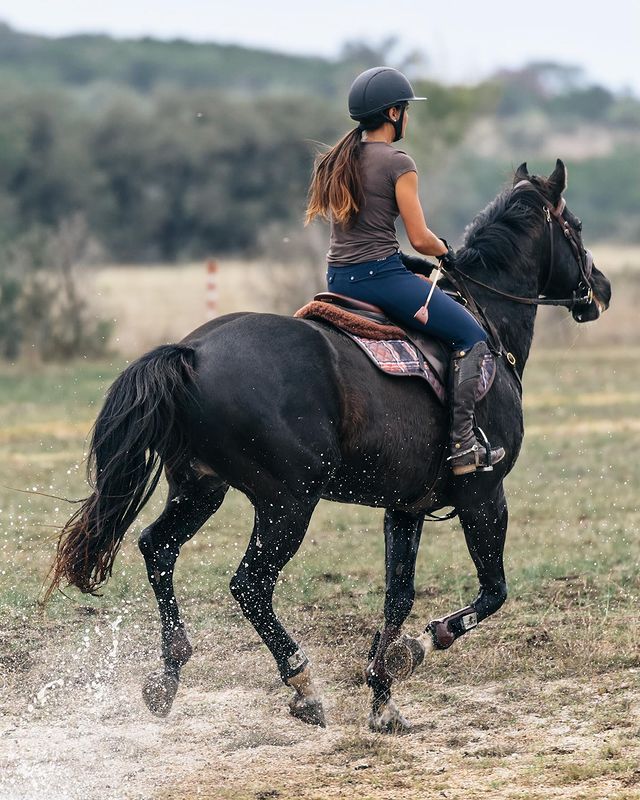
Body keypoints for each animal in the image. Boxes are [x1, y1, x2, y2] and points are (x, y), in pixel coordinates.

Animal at [46, 158, 608, 732]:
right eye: (576, 227)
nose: (601, 290)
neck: (486, 323)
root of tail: (192, 353)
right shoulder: (484, 496)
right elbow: (492, 592)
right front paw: (417, 648)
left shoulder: (406, 508)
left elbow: (398, 595)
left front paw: (384, 696)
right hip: (287, 503)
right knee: (249, 585)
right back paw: (302, 684)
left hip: (201, 488)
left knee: (158, 549)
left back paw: (168, 675)